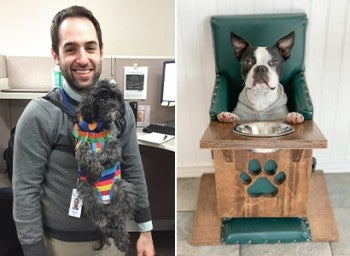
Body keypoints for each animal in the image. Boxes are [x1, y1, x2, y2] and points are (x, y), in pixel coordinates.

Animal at [73, 80, 135, 252]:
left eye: (115, 98)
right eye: (101, 100)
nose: (113, 105)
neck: (96, 129)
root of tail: (107, 203)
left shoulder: (114, 144)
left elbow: (107, 152)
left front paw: (99, 162)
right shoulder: (81, 145)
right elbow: (86, 156)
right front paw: (95, 169)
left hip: (123, 189)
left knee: (120, 217)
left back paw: (121, 238)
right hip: (88, 192)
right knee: (99, 216)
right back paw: (106, 224)